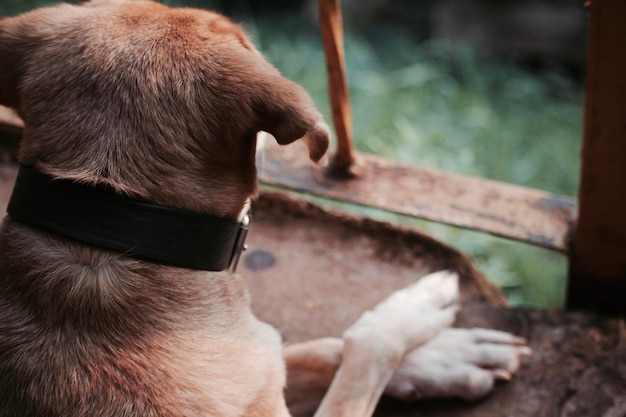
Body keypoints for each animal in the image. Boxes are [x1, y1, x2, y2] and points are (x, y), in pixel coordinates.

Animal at [0, 1, 528, 414]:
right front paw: (410, 315)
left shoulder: (265, 364)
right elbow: (363, 350)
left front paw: (446, 357)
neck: (111, 227)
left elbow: (321, 350)